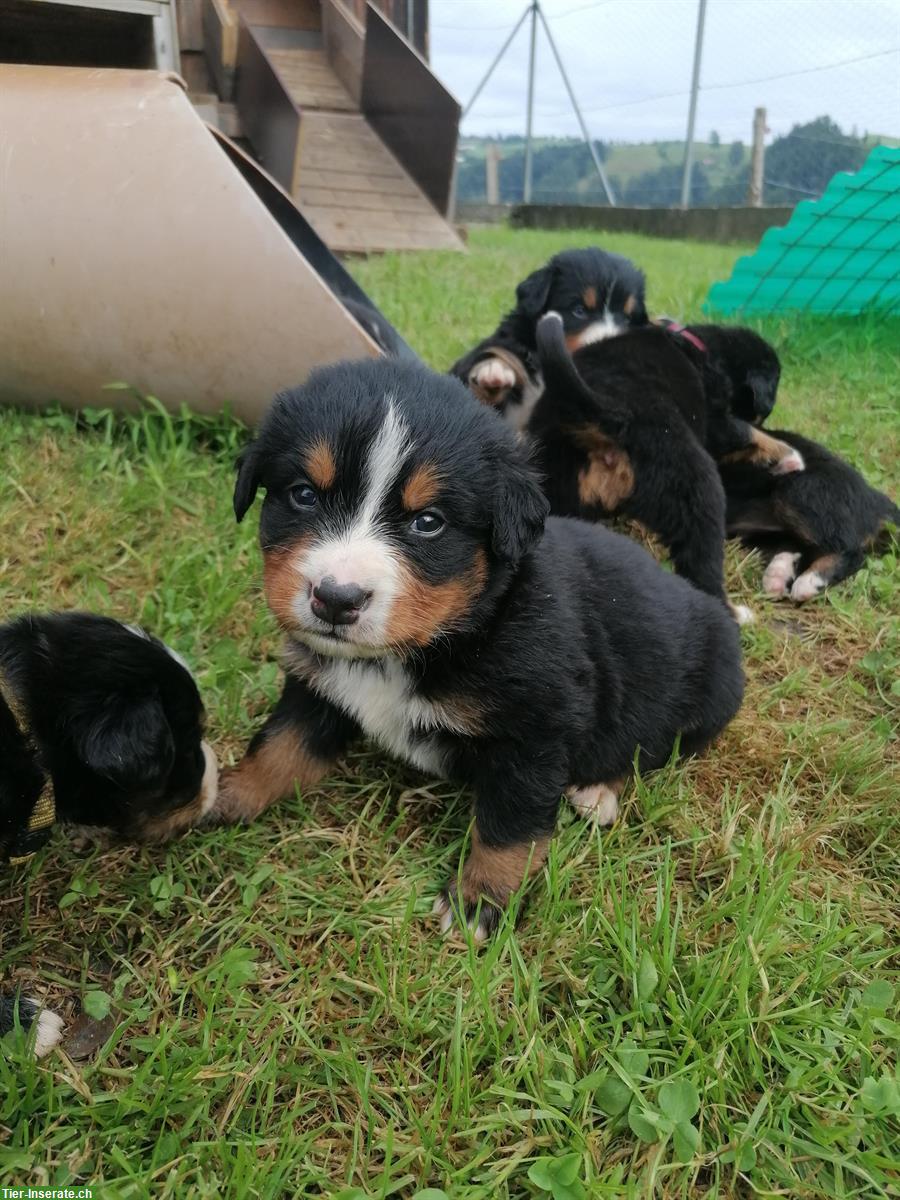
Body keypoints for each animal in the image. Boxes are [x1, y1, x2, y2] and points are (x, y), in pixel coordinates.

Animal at [218, 355, 748, 936]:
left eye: (428, 523)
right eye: (304, 494)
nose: (336, 599)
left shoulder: (536, 731)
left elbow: (508, 827)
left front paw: (480, 902)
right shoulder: (319, 686)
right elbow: (279, 744)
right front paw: (223, 795)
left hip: (702, 701)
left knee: (651, 749)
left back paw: (598, 792)